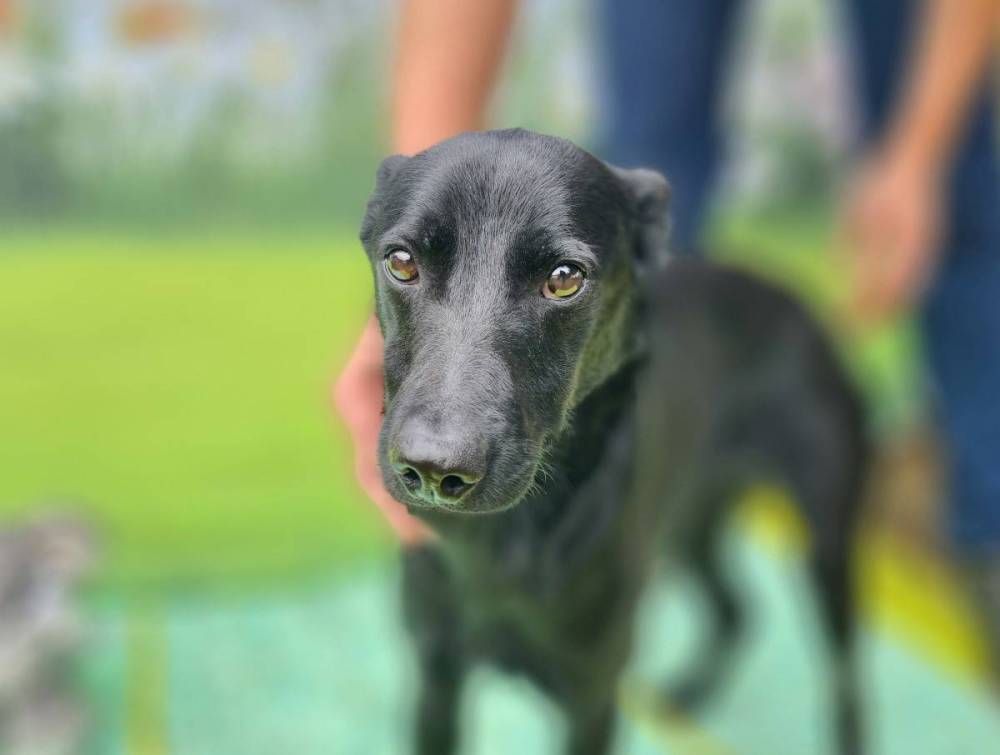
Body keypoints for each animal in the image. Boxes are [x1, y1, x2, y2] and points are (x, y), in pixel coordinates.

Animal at [359, 129, 868, 754]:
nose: (433, 470)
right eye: (402, 262)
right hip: (690, 522)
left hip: (828, 545)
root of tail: (800, 307)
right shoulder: (437, 677)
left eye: (563, 278)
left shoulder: (592, 697)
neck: (507, 541)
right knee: (735, 609)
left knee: (846, 681)